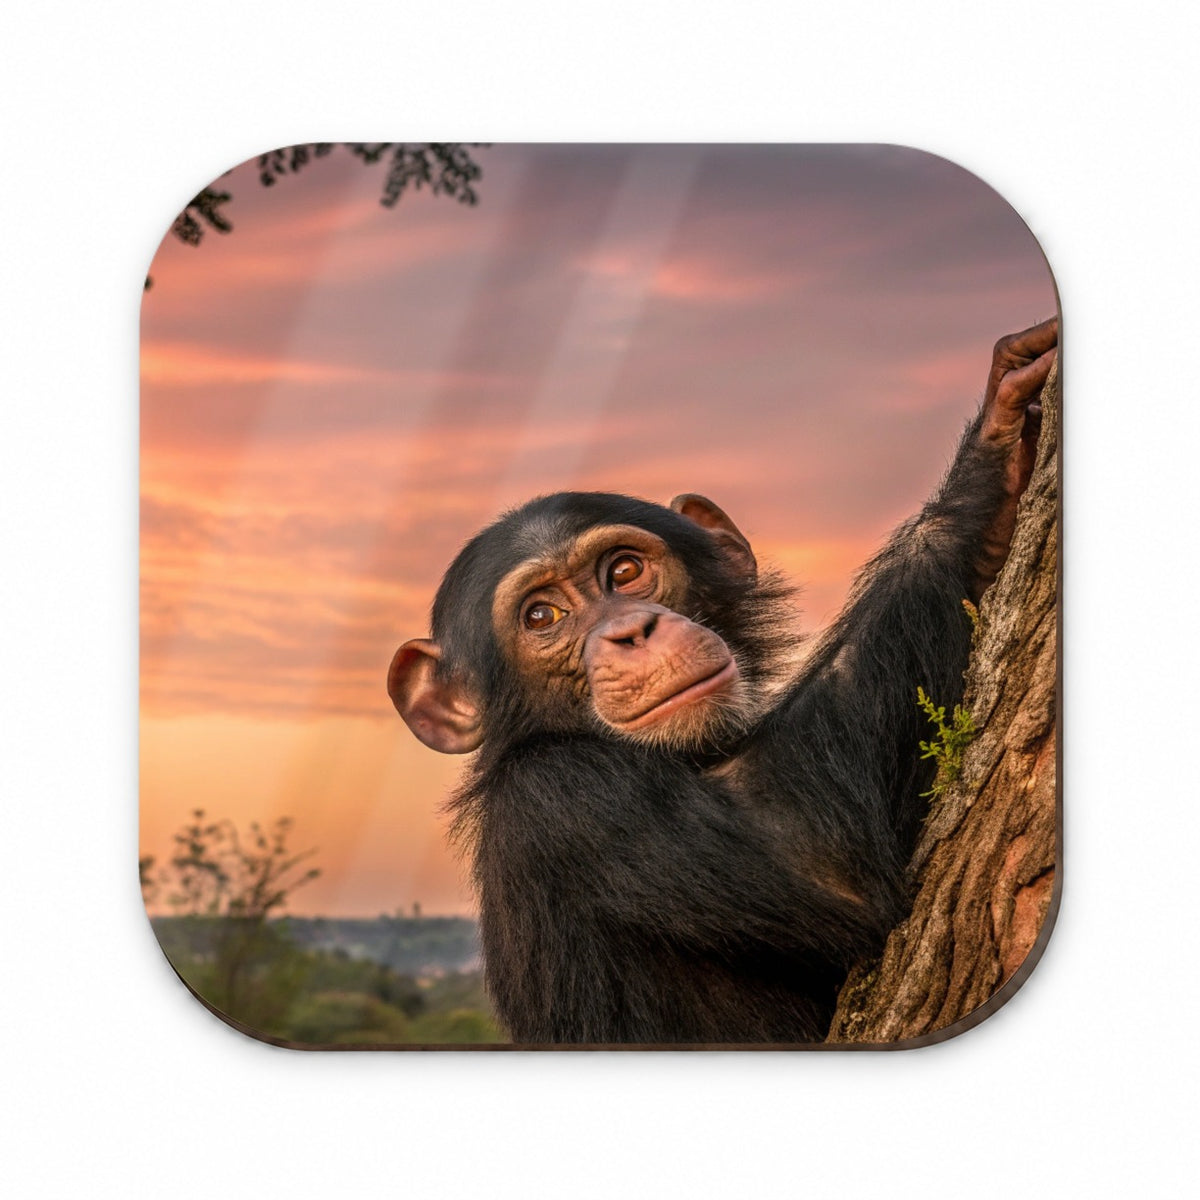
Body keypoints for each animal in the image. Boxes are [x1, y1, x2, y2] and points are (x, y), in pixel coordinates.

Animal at [388, 318, 1058, 1044]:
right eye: (542, 616)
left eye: (624, 572)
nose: (630, 631)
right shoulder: (565, 798)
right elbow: (817, 850)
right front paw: (986, 471)